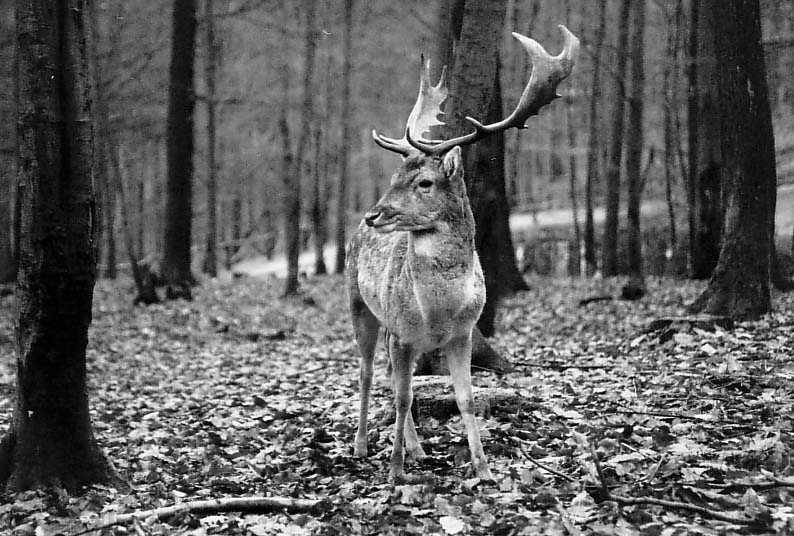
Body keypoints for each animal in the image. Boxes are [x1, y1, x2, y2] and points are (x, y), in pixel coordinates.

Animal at [344, 25, 580, 484]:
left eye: (425, 182)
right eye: (395, 176)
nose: (372, 214)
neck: (438, 312)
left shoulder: (463, 334)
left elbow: (465, 398)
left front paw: (483, 469)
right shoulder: (403, 332)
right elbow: (403, 398)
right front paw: (394, 473)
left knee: (387, 377)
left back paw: (417, 449)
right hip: (359, 304)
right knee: (365, 374)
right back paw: (363, 446)